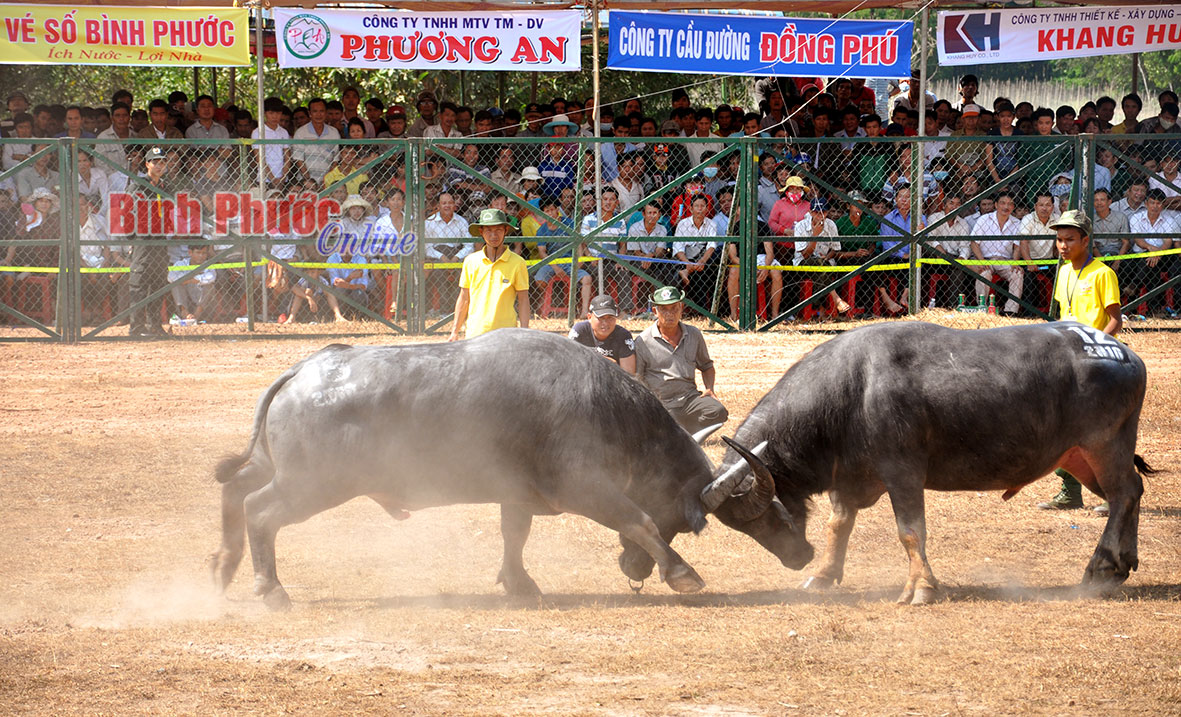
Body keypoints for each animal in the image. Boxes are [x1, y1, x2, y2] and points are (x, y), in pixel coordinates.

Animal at [205, 328, 812, 609]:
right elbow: (636, 519)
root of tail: (306, 368)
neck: (605, 407)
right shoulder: (585, 488)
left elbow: (513, 536)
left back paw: (222, 567)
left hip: (275, 467)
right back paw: (270, 589)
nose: (634, 570)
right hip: (312, 485)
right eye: (683, 526)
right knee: (259, 510)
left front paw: (519, 583)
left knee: (234, 492)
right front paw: (682, 572)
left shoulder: (517, 496)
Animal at [708, 321, 1152, 604]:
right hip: (1080, 457)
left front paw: (921, 588)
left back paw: (1102, 568)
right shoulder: (848, 478)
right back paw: (1123, 563)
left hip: (1103, 445)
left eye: (763, 518)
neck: (852, 389)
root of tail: (1126, 354)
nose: (796, 558)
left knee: (1125, 493)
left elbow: (909, 532)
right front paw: (823, 575)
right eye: (745, 527)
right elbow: (839, 525)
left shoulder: (903, 473)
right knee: (1130, 493)